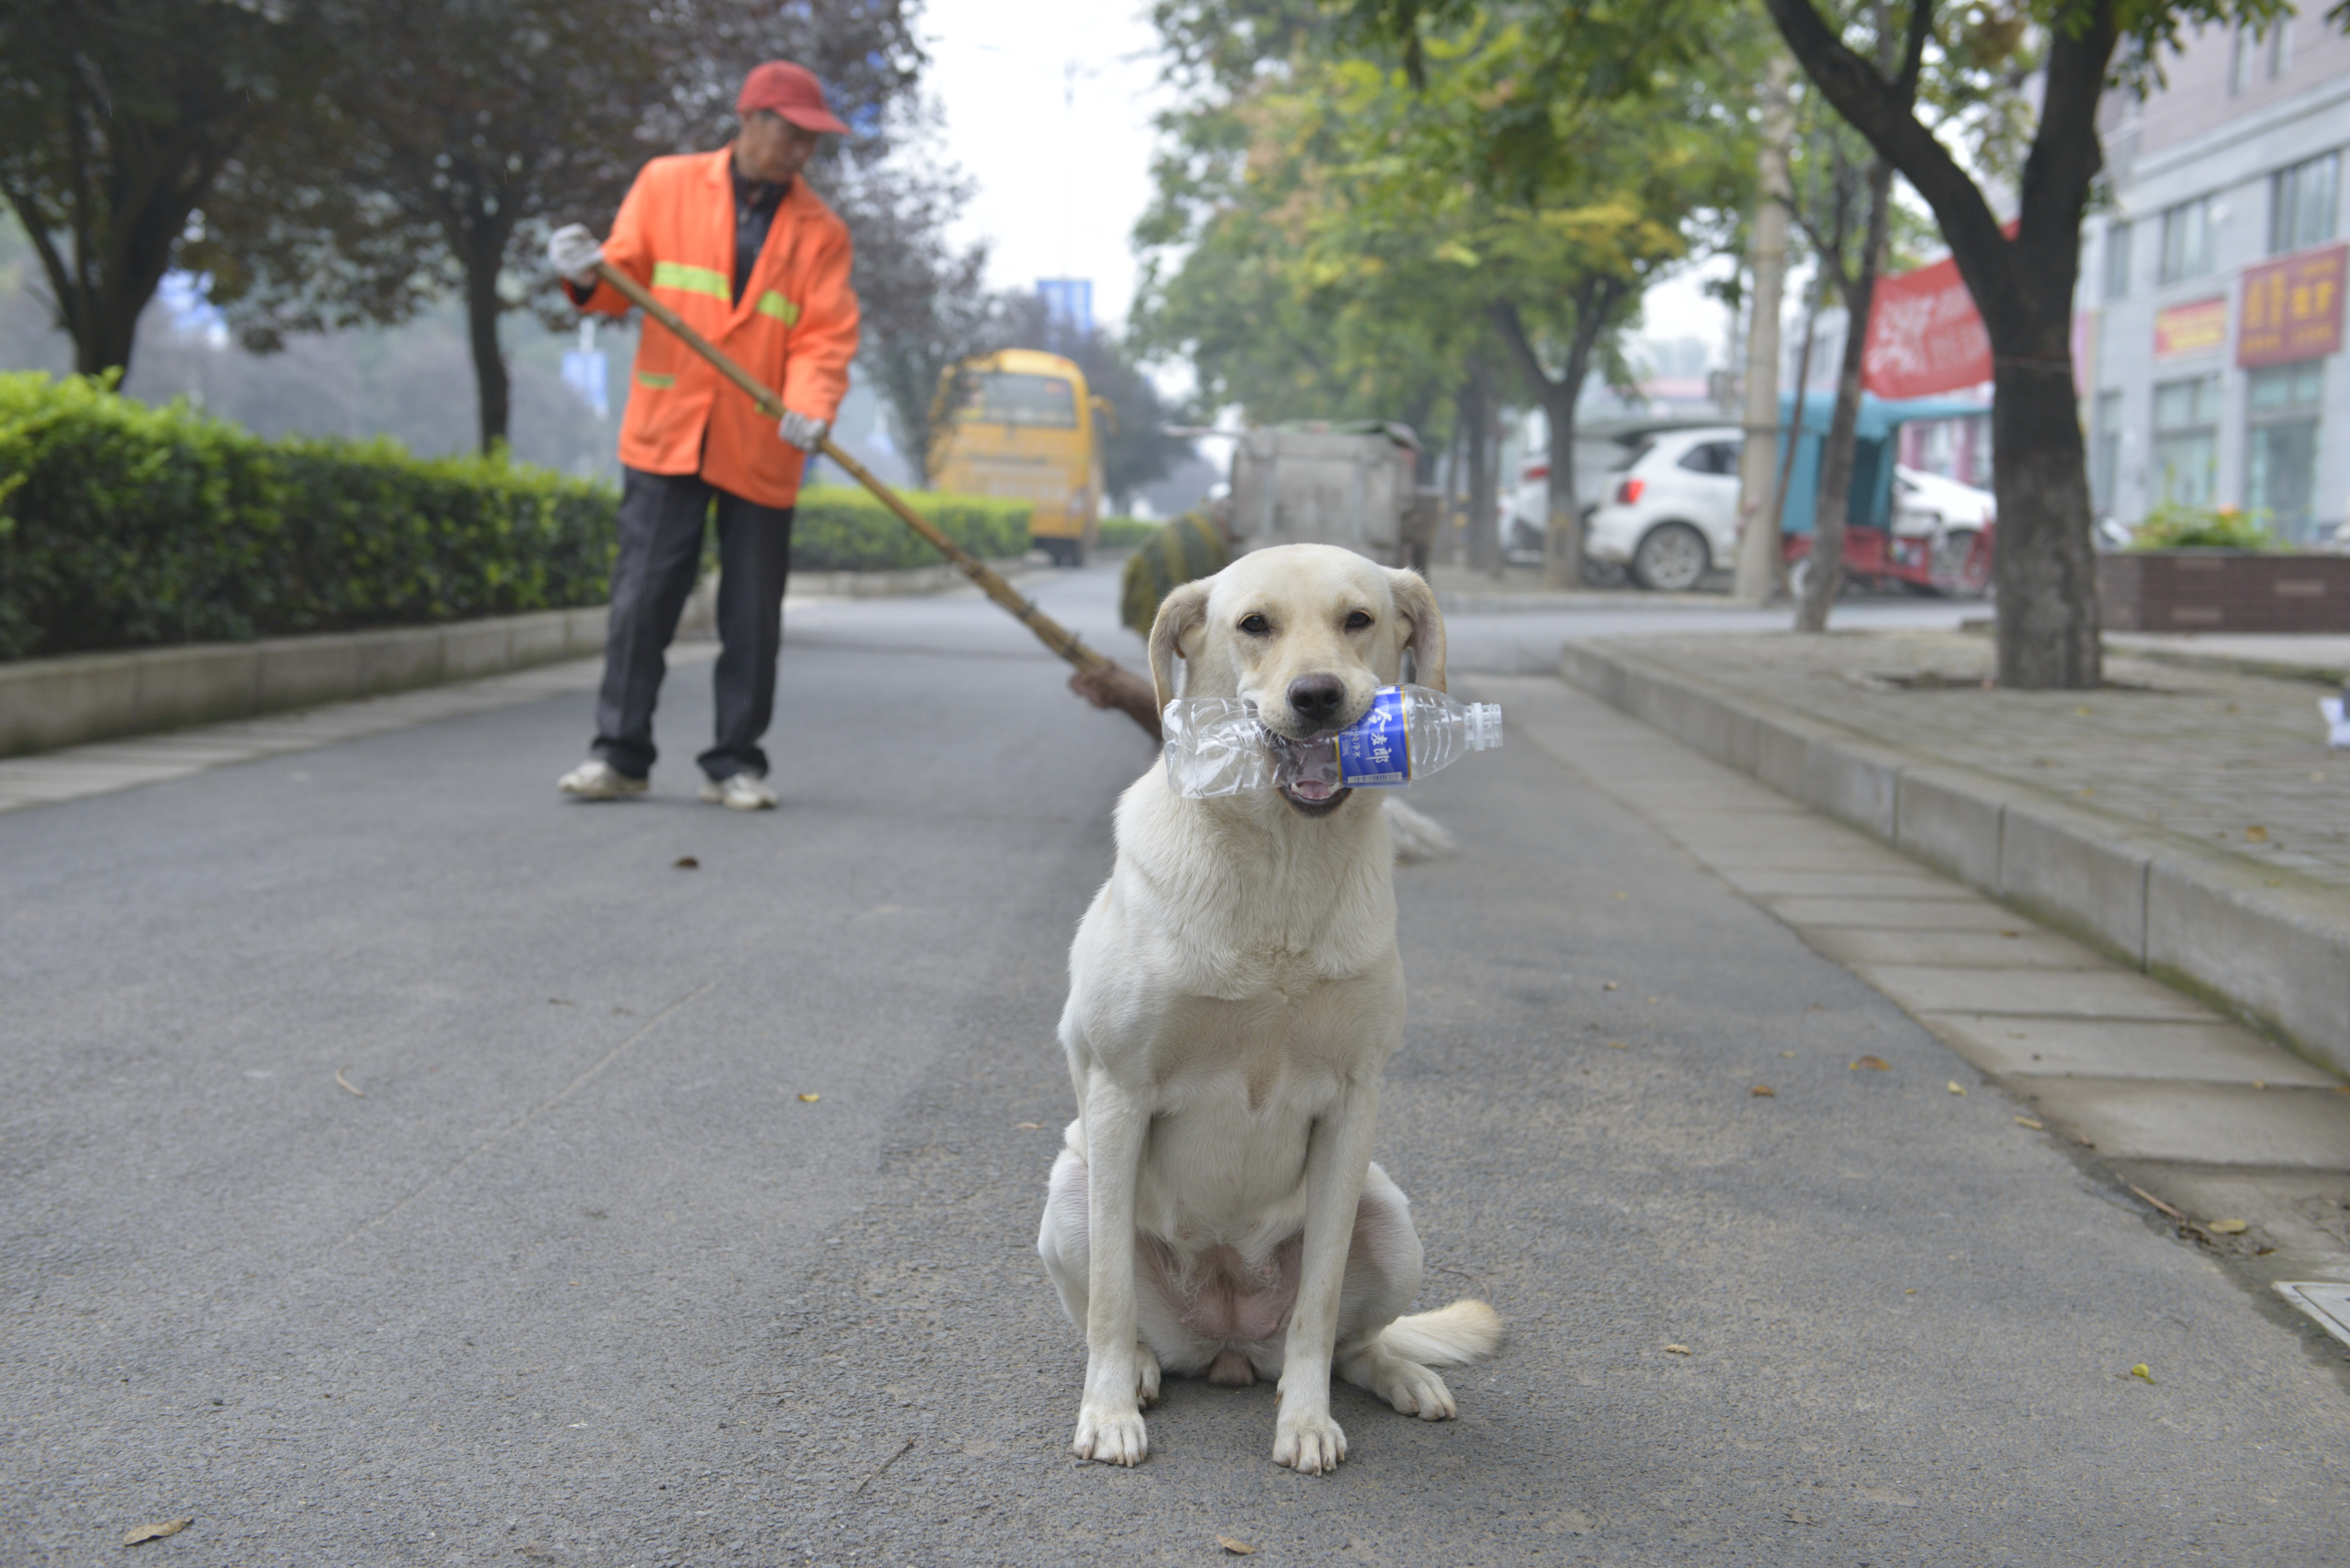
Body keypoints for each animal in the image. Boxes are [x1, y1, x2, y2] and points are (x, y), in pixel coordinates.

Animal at [1039, 543, 1495, 1476]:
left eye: (1359, 619)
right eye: (1254, 625)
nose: (1318, 695)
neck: (1282, 870)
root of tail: (1229, 1343)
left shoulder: (1355, 1103)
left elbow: (1319, 1307)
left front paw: (1307, 1422)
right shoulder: (1120, 1092)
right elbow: (1109, 1299)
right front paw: (1107, 1413)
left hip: (1388, 1214)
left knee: (1353, 1340)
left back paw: (1397, 1375)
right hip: (1069, 1190)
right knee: (1125, 1320)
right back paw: (1138, 1374)